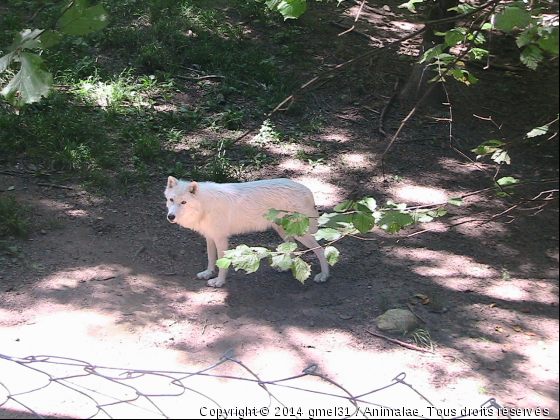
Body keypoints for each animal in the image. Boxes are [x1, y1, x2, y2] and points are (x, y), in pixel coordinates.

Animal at [163, 176, 328, 288]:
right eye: (171, 200)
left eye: (183, 202)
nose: (170, 217)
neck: (204, 206)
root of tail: (307, 190)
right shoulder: (210, 237)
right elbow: (211, 258)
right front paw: (208, 273)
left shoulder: (221, 238)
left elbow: (221, 262)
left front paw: (219, 281)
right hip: (284, 232)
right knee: (293, 249)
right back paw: (285, 267)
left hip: (301, 234)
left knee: (320, 250)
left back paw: (324, 276)